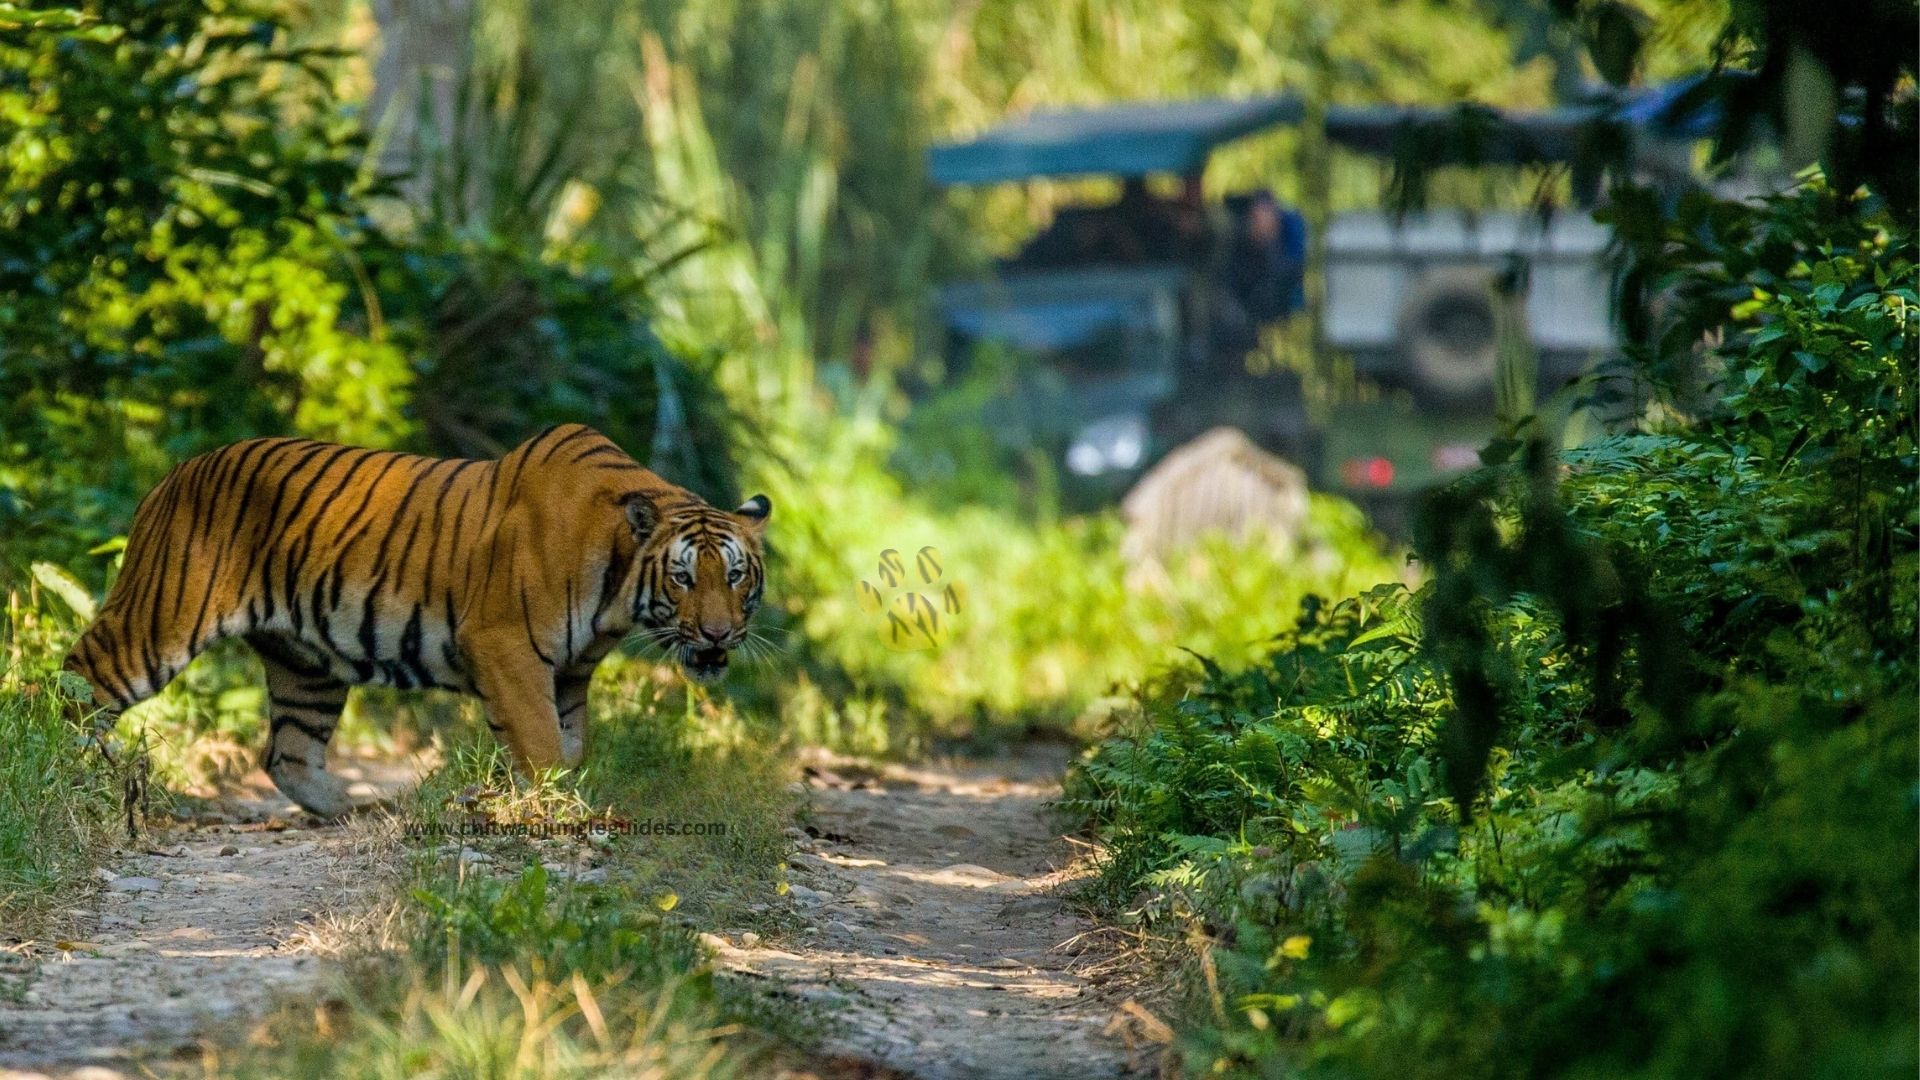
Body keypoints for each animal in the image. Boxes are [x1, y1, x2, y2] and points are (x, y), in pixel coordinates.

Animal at [61, 423, 770, 817]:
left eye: (736, 576)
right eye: (683, 578)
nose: (718, 634)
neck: (620, 593)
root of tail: (172, 475)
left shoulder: (570, 673)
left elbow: (571, 744)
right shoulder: (505, 647)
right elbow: (542, 745)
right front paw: (553, 808)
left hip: (306, 666)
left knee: (287, 754)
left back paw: (366, 813)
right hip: (156, 621)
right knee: (77, 682)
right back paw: (69, 771)